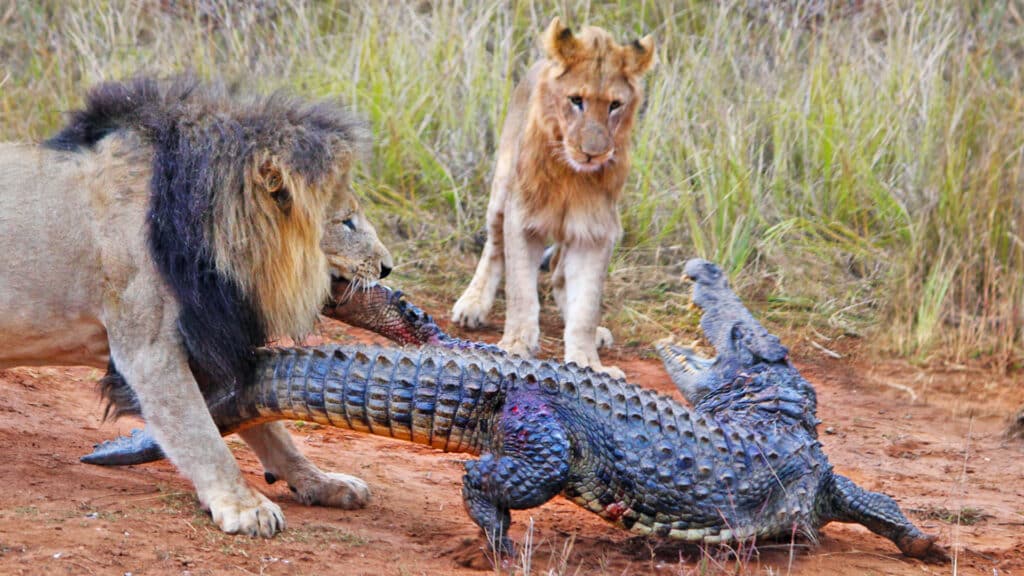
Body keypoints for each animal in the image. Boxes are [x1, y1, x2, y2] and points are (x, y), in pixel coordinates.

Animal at [0, 75, 393, 532]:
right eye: (346, 222)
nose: (387, 267)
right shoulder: (149, 353)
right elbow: (201, 435)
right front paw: (245, 507)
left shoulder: (203, 342)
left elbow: (271, 429)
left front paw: (323, 483)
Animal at [450, 17, 655, 377]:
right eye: (576, 100)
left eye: (615, 105)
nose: (592, 153)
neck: (571, 176)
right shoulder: (522, 217)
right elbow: (521, 291)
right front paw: (515, 345)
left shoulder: (596, 230)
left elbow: (586, 305)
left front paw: (588, 361)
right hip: (501, 189)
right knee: (494, 247)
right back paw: (471, 305)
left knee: (559, 271)